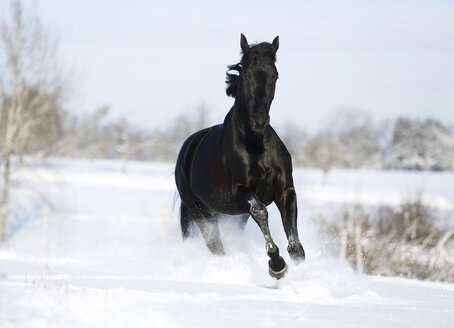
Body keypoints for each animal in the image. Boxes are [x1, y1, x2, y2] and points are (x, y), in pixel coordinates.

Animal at [176, 34, 306, 280]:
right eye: (246, 74)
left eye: (274, 75)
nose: (259, 120)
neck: (256, 147)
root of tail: (187, 149)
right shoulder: (242, 193)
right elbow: (261, 212)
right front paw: (276, 265)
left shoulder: (285, 190)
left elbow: (294, 240)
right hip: (202, 214)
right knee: (216, 246)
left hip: (230, 216)